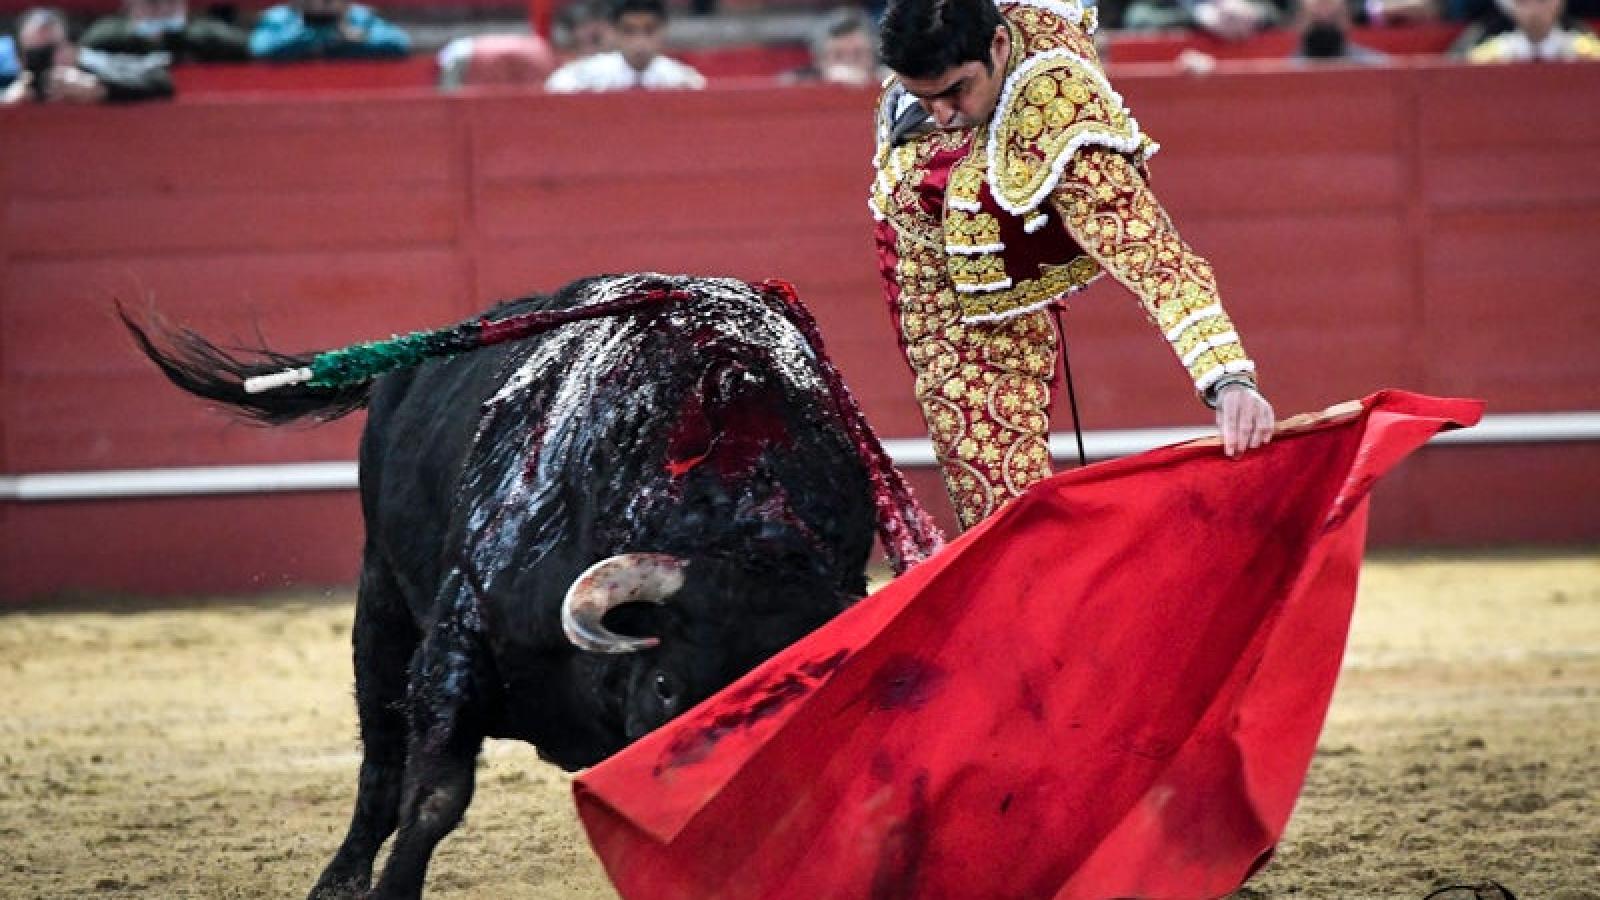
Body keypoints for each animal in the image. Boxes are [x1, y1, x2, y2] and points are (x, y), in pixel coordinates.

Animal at [124, 273, 934, 896]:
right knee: (380, 754)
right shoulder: (460, 633)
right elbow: (434, 795)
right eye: (667, 686)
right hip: (380, 598)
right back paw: (342, 878)